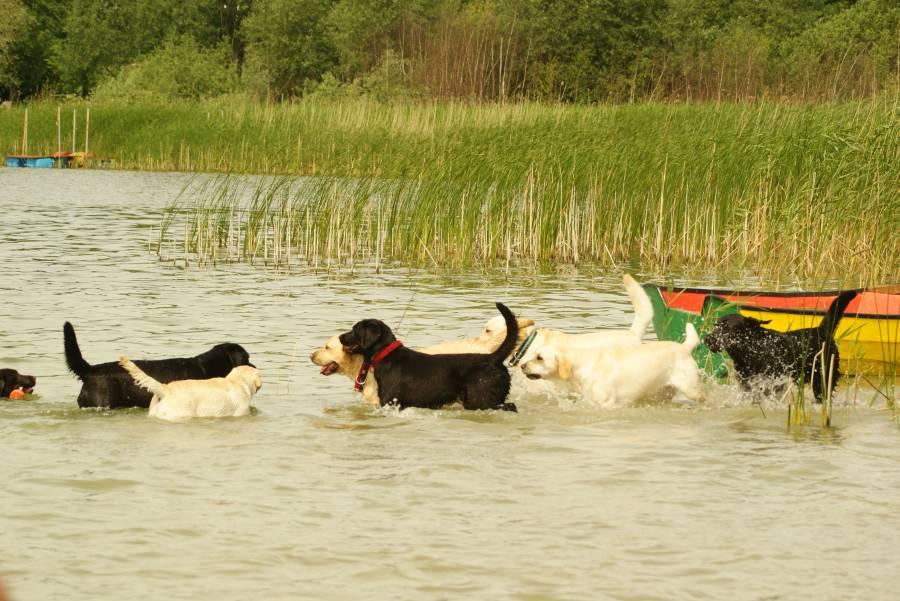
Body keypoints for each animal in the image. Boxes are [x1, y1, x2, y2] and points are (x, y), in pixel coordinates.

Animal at [338, 302, 520, 410]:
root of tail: (493, 358)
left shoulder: (391, 401)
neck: (386, 355)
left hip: (482, 399)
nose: (340, 337)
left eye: (354, 330)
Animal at [520, 324, 704, 408]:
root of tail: (684, 347)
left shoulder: (607, 404)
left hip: (691, 389)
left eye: (539, 358)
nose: (522, 366)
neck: (580, 366)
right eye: (533, 353)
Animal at [704, 288, 856, 400]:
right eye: (716, 326)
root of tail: (821, 329)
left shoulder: (772, 382)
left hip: (823, 379)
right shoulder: (746, 384)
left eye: (727, 328)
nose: (707, 339)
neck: (751, 350)